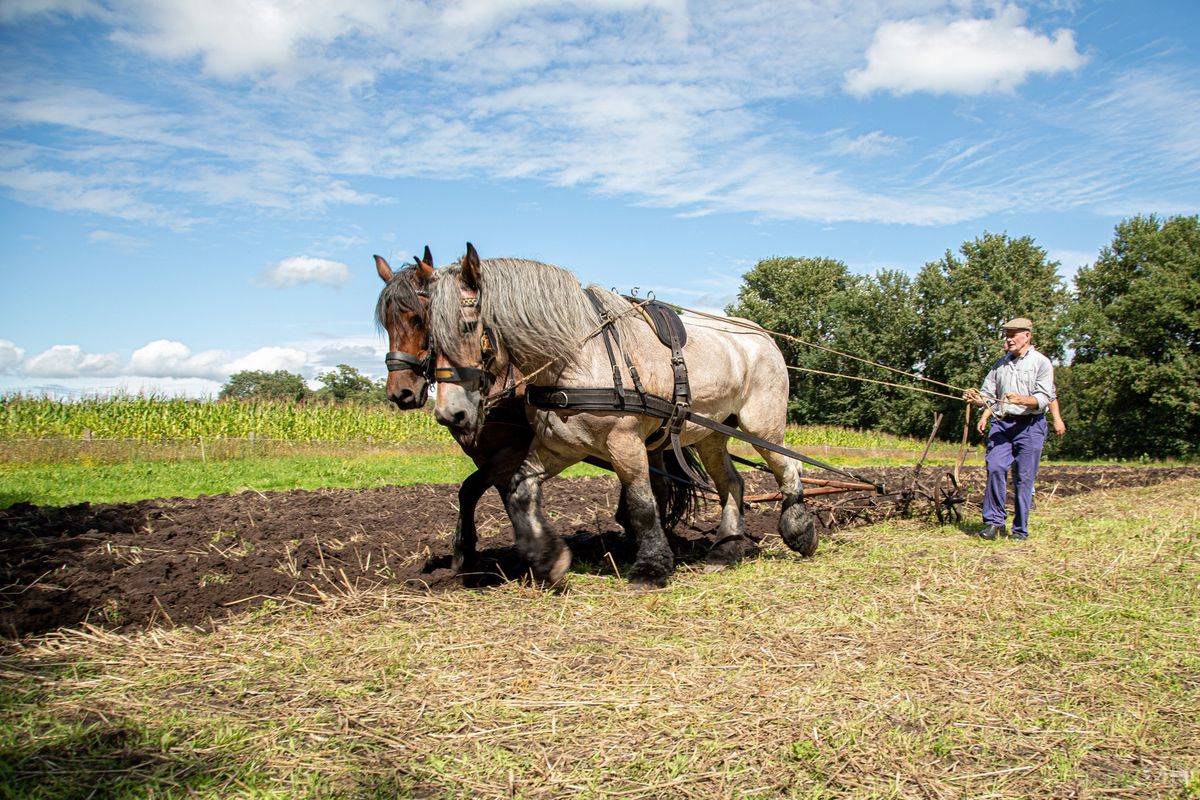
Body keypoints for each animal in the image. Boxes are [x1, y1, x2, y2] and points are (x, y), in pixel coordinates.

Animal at [429, 242, 816, 587]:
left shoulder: (625, 442)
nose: (451, 413)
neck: (579, 357)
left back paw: (800, 532)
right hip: (713, 433)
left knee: (788, 468)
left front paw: (651, 568)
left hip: (761, 426)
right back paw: (727, 549)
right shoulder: (558, 447)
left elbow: (641, 505)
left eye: (467, 325)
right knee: (732, 483)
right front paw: (547, 560)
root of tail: (761, 335)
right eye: (430, 334)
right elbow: (519, 490)